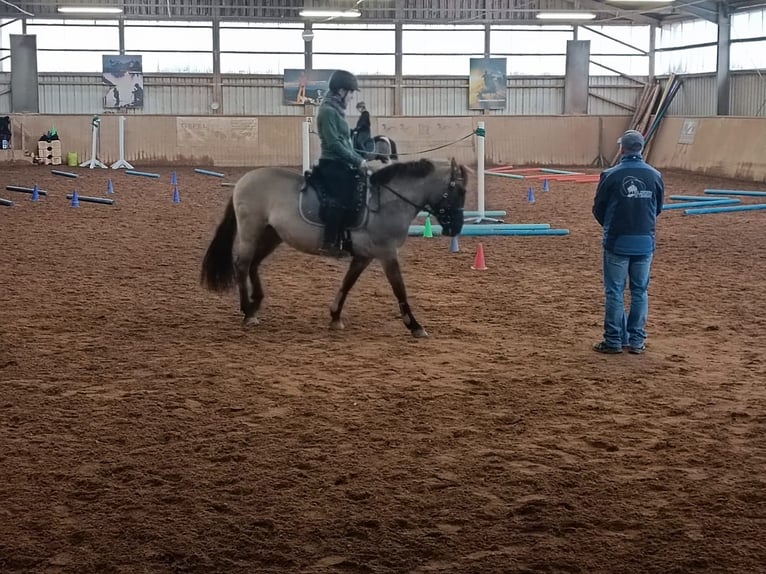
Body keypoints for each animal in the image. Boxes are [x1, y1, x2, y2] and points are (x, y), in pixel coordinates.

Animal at [200, 156, 468, 338]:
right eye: (458, 190)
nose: (456, 227)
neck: (388, 201)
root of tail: (242, 181)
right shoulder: (387, 254)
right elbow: (399, 289)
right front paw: (415, 326)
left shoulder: (364, 256)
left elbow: (347, 283)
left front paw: (335, 316)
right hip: (251, 230)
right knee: (242, 264)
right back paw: (247, 312)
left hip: (271, 235)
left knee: (254, 264)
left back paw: (256, 304)